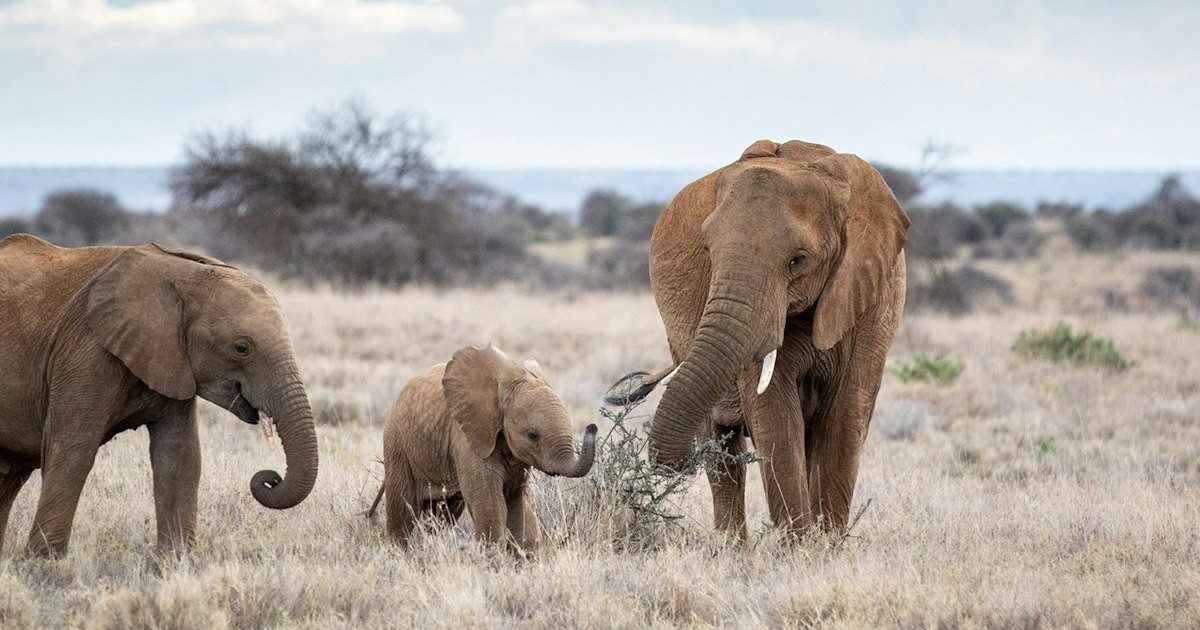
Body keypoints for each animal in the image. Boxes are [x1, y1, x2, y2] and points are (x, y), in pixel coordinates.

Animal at [0, 234, 319, 557]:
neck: (184, 273)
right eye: (242, 348)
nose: (271, 478)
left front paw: (177, 560)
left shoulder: (171, 359)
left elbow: (180, 456)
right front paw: (45, 562)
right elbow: (72, 450)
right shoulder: (86, 351)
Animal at [367, 344, 597, 553]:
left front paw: (520, 557)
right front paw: (492, 559)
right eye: (533, 435)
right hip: (397, 442)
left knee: (445, 513)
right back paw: (400, 553)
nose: (592, 427)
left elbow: (515, 499)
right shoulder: (467, 437)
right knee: (402, 508)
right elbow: (490, 501)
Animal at [607, 139, 909, 539]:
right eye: (707, 251)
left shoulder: (874, 297)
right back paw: (732, 547)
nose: (669, 464)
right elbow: (775, 415)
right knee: (722, 455)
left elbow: (845, 414)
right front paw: (801, 546)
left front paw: (824, 545)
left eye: (798, 260)